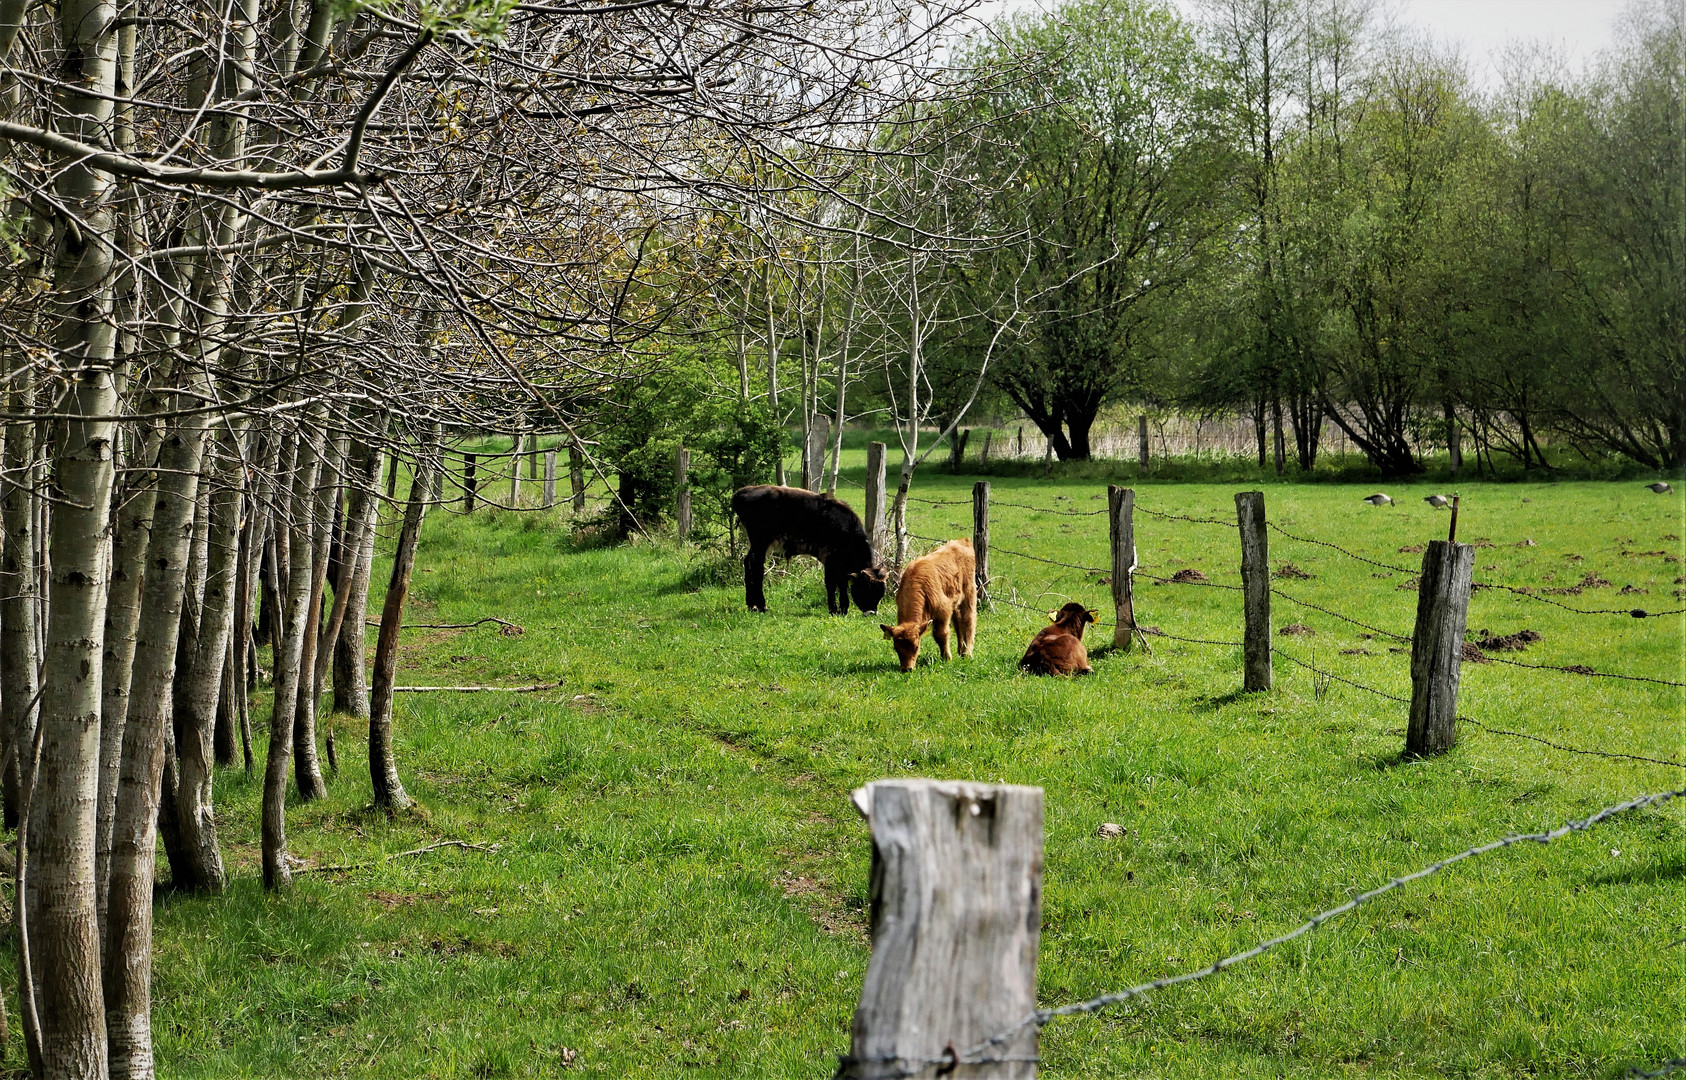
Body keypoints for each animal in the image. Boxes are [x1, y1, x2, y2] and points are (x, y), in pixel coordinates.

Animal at [738, 481, 896, 609]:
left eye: (880, 594)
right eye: (866, 589)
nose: (871, 612)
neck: (846, 528)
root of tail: (743, 492)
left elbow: (842, 583)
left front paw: (843, 608)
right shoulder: (830, 559)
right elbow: (831, 584)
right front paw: (834, 609)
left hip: (756, 545)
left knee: (747, 562)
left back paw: (751, 604)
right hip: (761, 543)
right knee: (757, 568)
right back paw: (761, 605)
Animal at [883, 535, 977, 670]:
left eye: (916, 647)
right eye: (896, 648)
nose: (907, 669)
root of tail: (963, 540)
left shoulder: (943, 611)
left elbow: (941, 634)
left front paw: (947, 658)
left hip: (969, 594)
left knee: (968, 620)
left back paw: (967, 653)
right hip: (955, 603)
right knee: (958, 623)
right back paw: (960, 651)